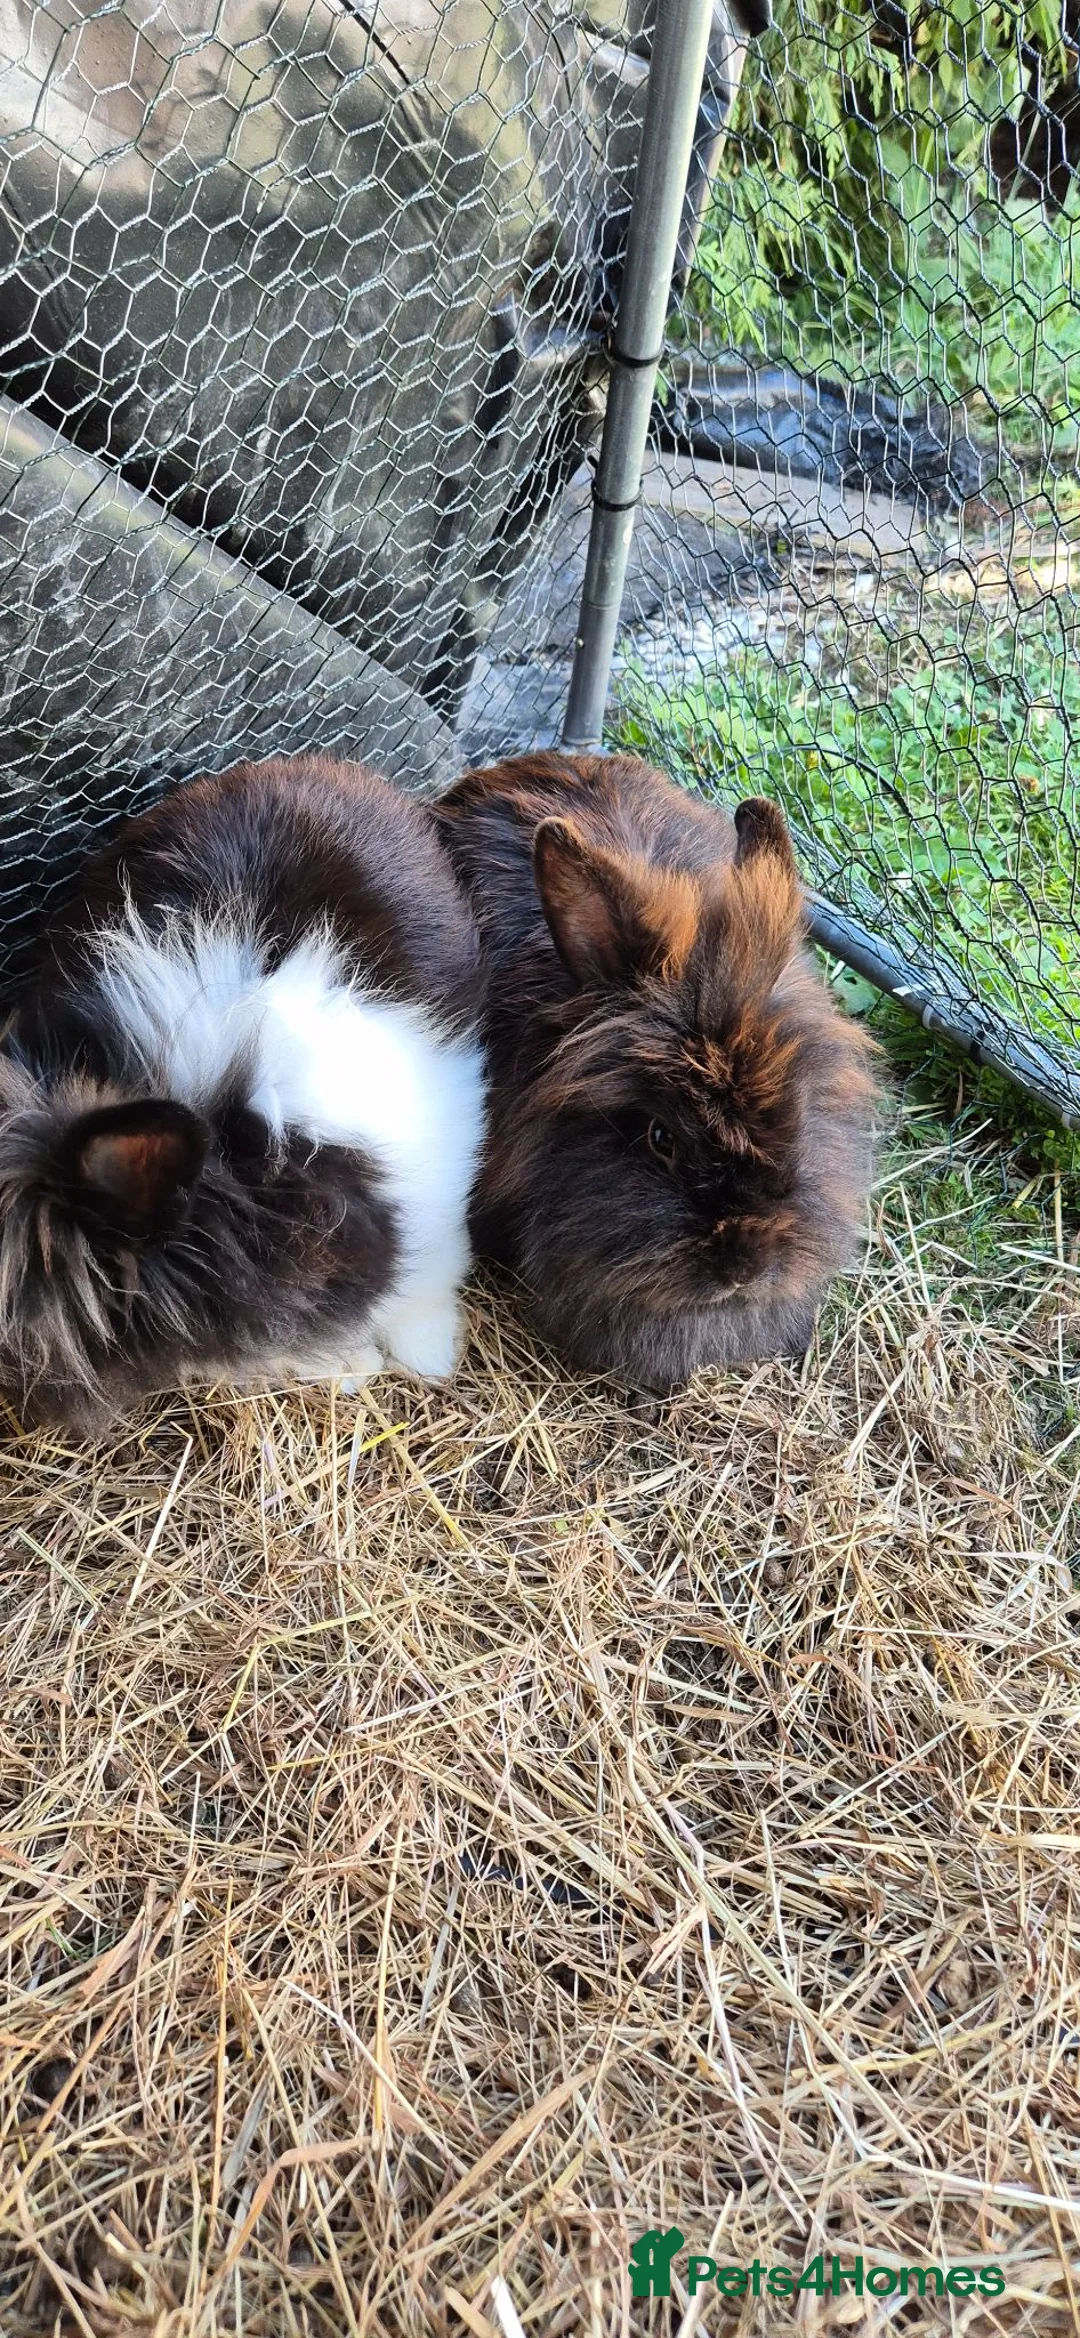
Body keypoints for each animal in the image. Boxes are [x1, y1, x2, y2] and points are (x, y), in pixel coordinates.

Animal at [0, 754, 486, 1432]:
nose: (31, 1412)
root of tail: (307, 765)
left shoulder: (433, 1191)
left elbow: (425, 1284)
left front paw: (430, 1357)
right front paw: (348, 1369)